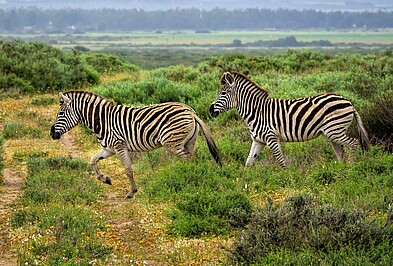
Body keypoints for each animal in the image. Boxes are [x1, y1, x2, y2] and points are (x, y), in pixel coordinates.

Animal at [50, 91, 220, 197]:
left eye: (61, 113)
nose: (52, 134)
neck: (103, 121)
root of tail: (190, 111)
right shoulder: (108, 149)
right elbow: (92, 160)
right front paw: (105, 179)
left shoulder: (119, 146)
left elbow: (128, 169)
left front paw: (132, 192)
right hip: (189, 142)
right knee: (194, 158)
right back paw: (193, 177)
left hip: (172, 143)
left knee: (188, 159)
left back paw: (188, 179)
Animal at [208, 71, 368, 167]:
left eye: (223, 93)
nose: (210, 110)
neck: (256, 111)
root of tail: (349, 102)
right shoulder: (258, 140)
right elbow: (248, 163)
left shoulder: (271, 138)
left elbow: (281, 161)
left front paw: (287, 179)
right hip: (332, 133)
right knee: (340, 153)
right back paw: (340, 171)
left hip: (335, 130)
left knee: (353, 142)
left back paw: (351, 167)